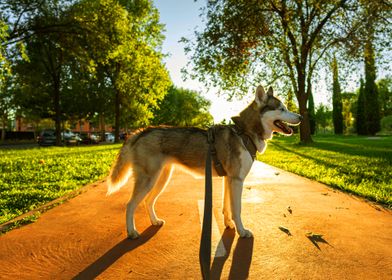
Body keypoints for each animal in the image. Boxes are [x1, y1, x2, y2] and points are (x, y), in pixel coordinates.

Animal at [105, 85, 302, 238]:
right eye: (281, 109)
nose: (300, 117)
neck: (244, 132)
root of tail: (140, 132)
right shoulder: (237, 180)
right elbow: (237, 209)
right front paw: (242, 231)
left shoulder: (228, 179)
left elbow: (226, 207)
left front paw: (229, 225)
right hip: (149, 180)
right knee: (130, 205)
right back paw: (131, 232)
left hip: (161, 179)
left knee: (148, 201)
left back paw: (154, 221)